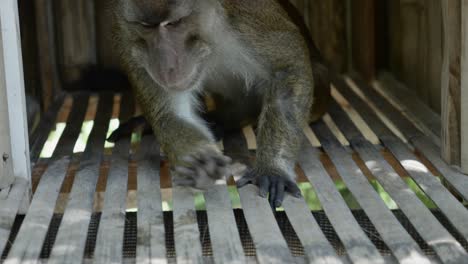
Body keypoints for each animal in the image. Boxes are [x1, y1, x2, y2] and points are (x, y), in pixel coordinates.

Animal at [109, 0, 330, 207]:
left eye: (174, 23)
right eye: (146, 26)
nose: (166, 66)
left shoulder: (247, 15)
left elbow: (286, 68)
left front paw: (273, 169)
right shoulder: (130, 45)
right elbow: (170, 114)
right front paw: (199, 160)